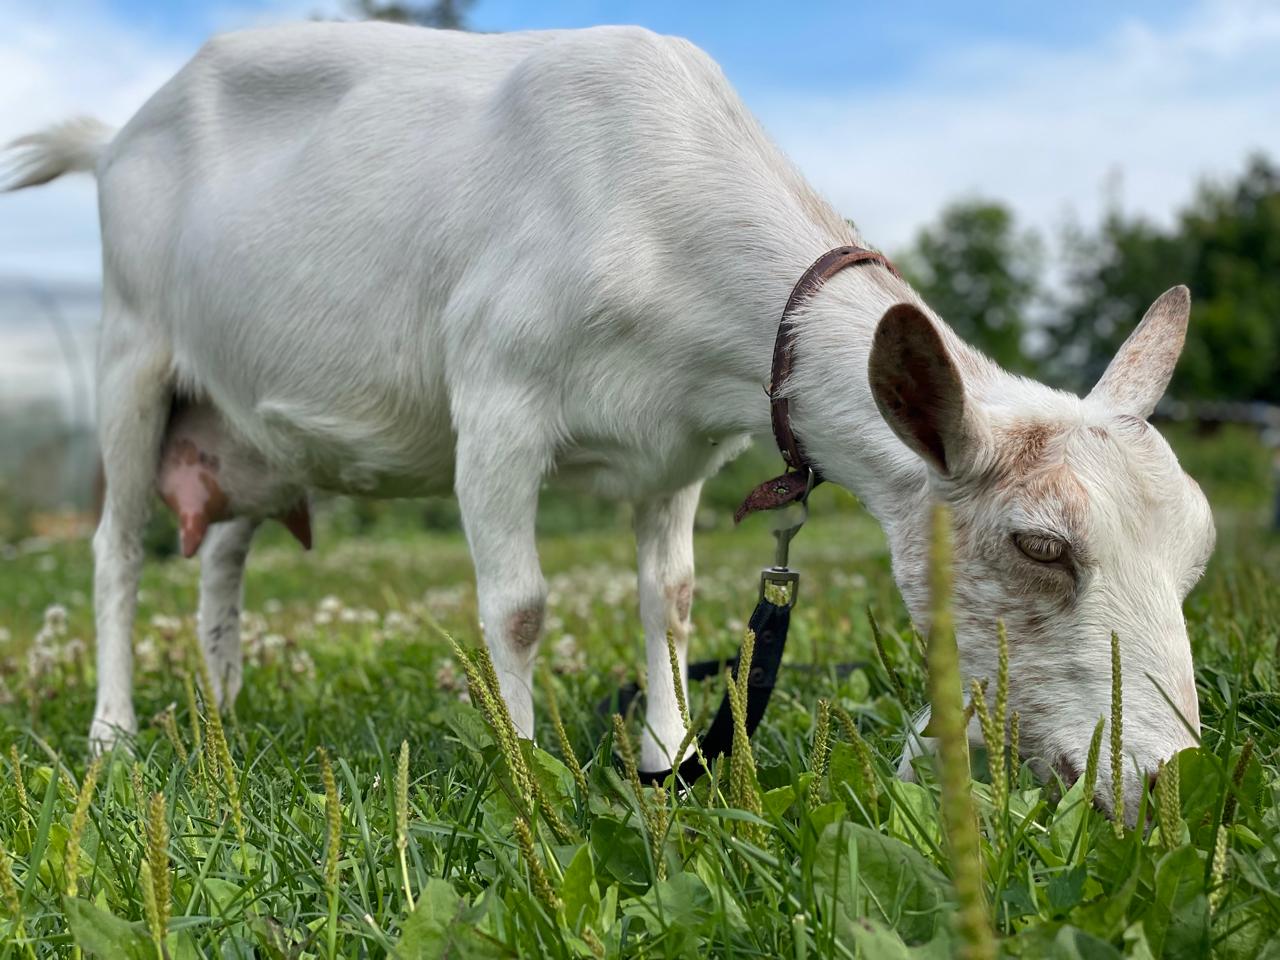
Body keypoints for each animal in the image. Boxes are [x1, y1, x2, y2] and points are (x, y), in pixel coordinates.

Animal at [5, 20, 1213, 819]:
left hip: (244, 422)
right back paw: (115, 734)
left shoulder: (677, 450)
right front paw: (526, 775)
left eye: (1195, 553)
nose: (1170, 776)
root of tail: (114, 136)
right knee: (116, 551)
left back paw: (221, 709)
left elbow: (669, 600)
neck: (657, 209)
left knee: (223, 558)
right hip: (131, 353)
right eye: (1040, 546)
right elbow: (519, 607)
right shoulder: (496, 403)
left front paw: (666, 754)